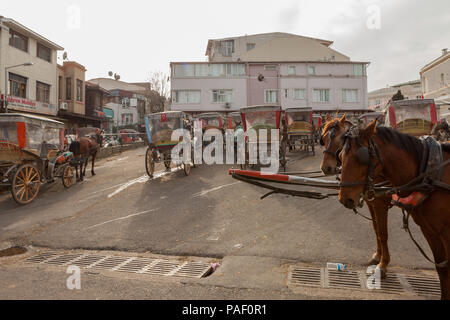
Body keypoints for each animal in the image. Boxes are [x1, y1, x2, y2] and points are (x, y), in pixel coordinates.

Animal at [320, 115, 390, 278]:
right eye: (323, 139)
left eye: (338, 138)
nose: (326, 168)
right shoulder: (372, 202)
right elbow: (376, 228)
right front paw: (377, 256)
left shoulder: (381, 203)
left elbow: (383, 232)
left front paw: (383, 264)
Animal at [338, 120, 450, 300]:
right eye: (341, 155)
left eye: (361, 157)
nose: (344, 198)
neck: (431, 173)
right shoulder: (430, 231)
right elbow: (442, 269)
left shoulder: (446, 232)